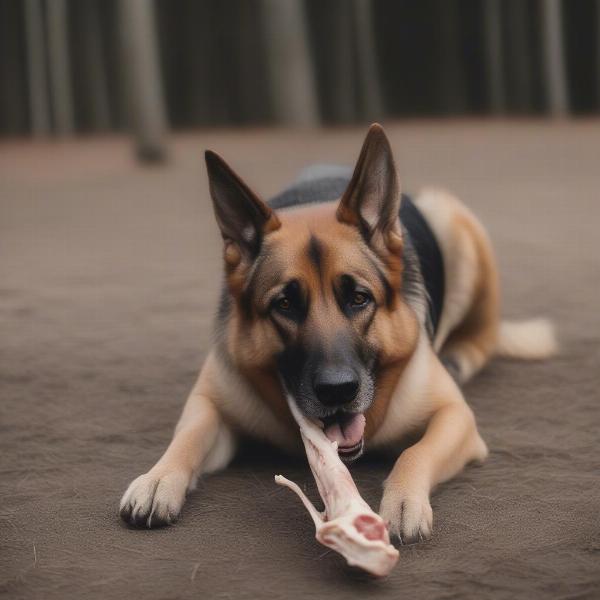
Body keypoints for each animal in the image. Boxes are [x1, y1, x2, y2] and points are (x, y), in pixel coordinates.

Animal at [119, 123, 556, 544]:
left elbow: (415, 453)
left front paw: (402, 500)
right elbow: (187, 436)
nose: (337, 391)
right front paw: (158, 478)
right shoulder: (209, 404)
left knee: (484, 336)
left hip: (452, 219)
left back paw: (459, 356)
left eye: (359, 298)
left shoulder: (456, 417)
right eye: (285, 304)